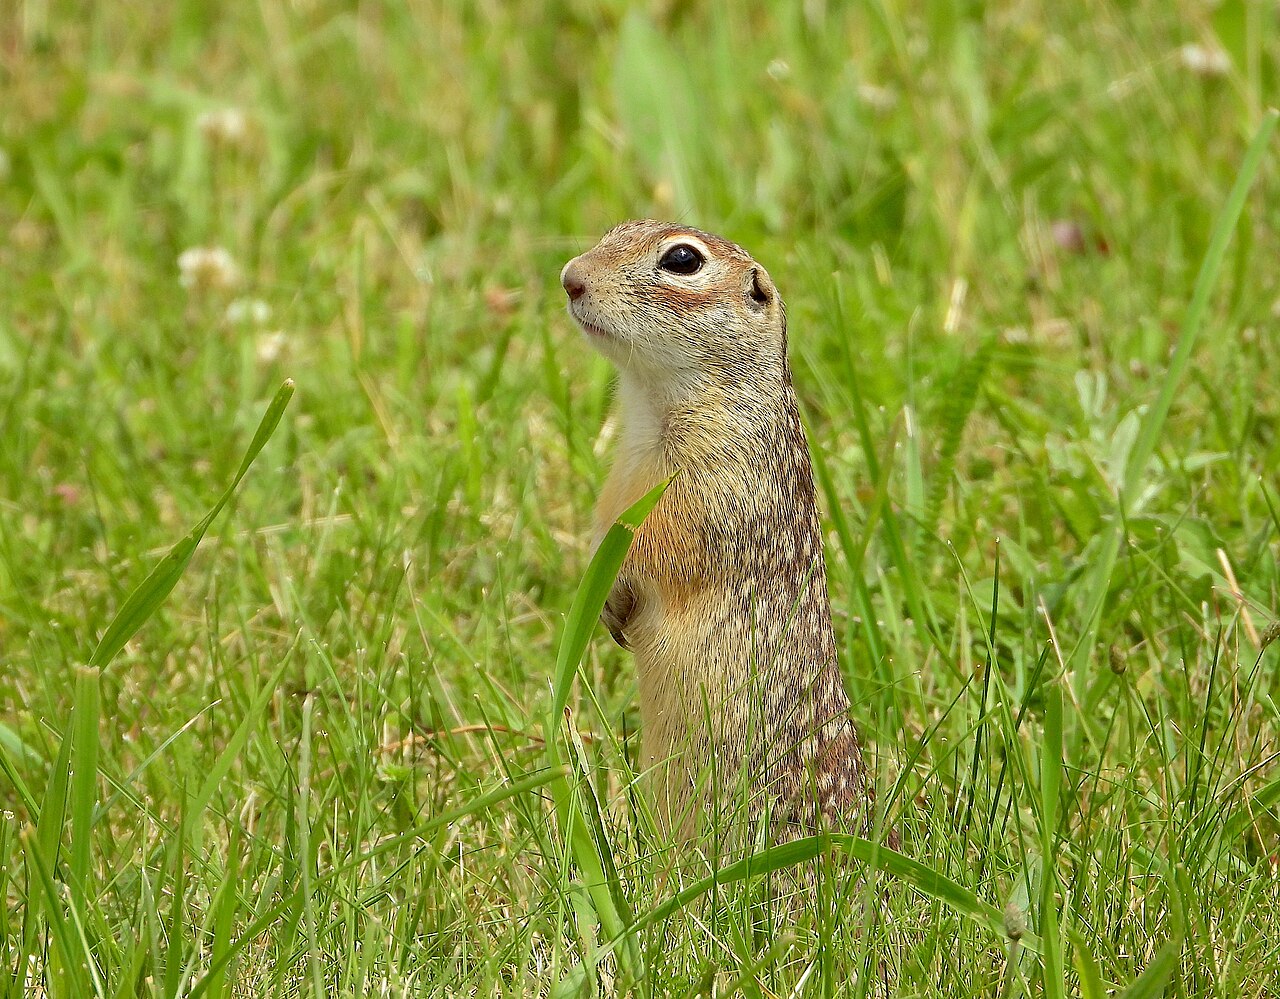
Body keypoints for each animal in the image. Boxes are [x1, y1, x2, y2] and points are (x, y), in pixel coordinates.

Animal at [560, 220, 875, 848]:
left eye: (682, 260)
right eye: (615, 231)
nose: (570, 278)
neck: (650, 405)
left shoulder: (716, 486)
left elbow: (659, 546)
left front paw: (617, 592)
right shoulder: (620, 478)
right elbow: (605, 523)